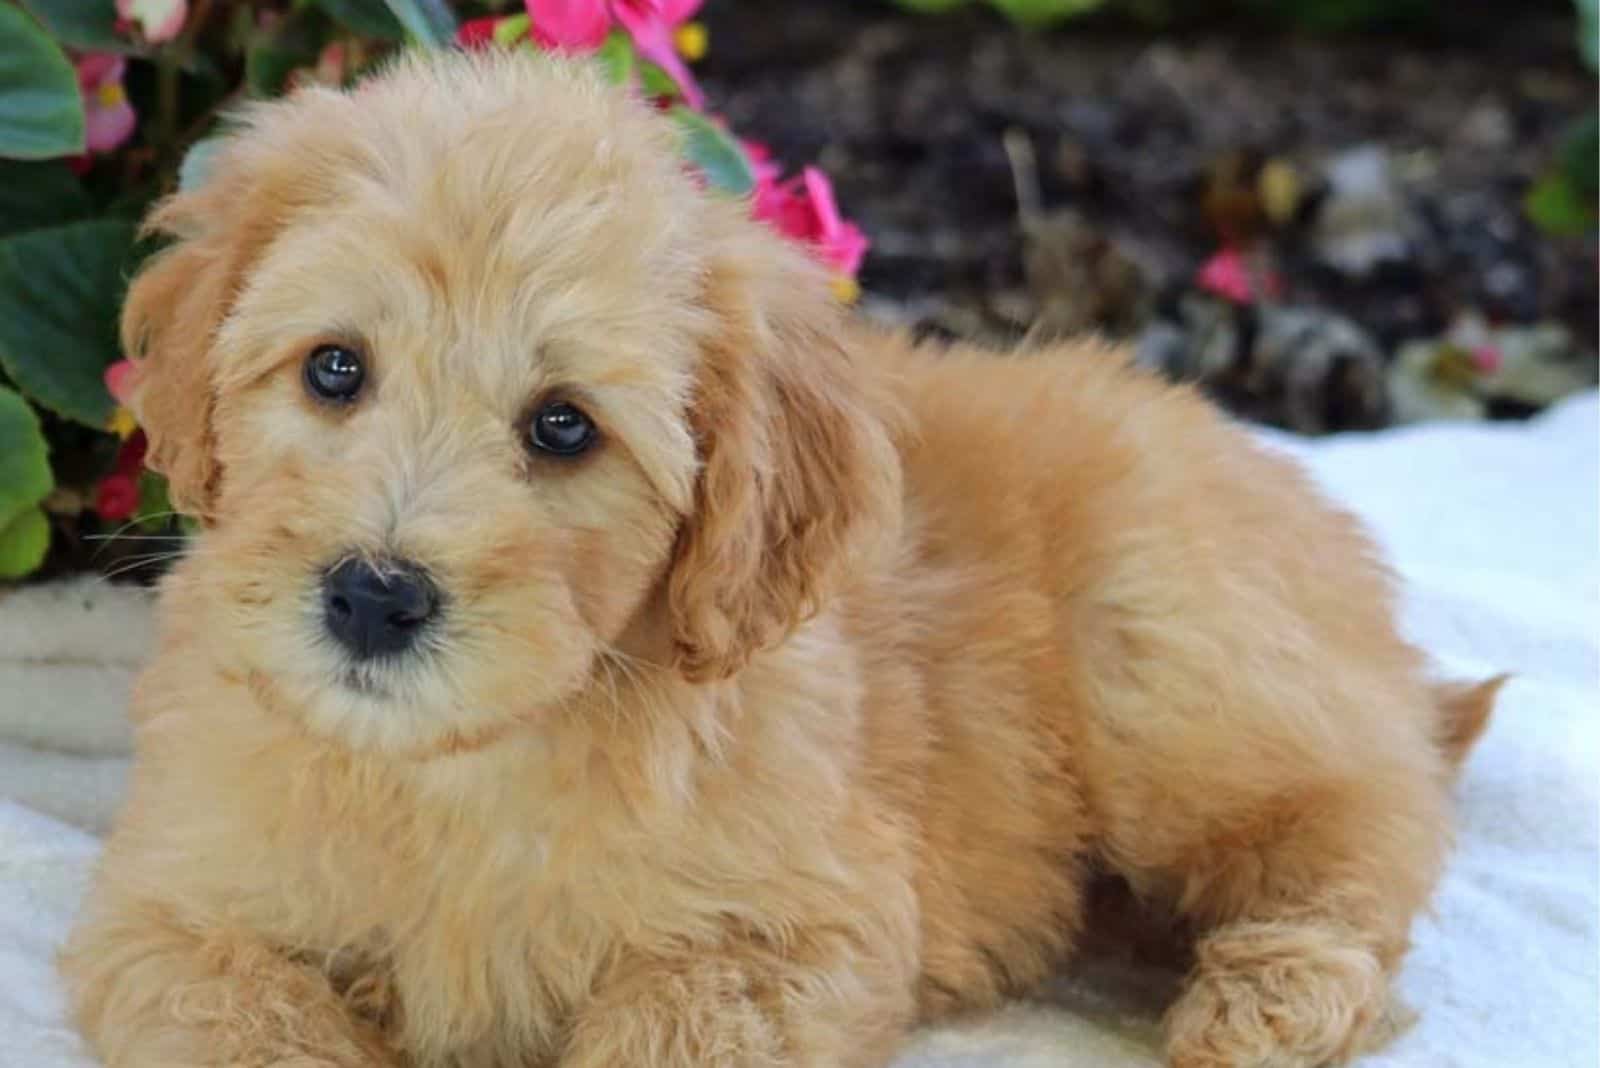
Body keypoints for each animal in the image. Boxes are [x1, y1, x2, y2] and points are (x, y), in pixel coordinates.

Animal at [53, 49, 1497, 1068]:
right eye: (334, 368)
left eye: (563, 426)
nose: (371, 597)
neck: (460, 770)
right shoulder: (176, 916)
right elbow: (248, 1020)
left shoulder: (793, 936)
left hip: (1171, 668)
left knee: (1362, 822)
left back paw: (1270, 998)